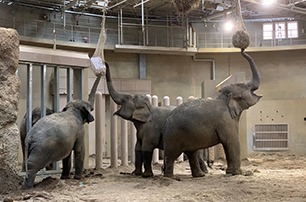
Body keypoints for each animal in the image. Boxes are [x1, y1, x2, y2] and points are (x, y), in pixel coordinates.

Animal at [163, 49, 260, 178]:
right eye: (246, 86)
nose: (242, 49)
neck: (224, 98)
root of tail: (167, 121)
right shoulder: (225, 120)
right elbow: (231, 141)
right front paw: (238, 173)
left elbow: (227, 143)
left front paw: (229, 172)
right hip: (174, 135)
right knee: (172, 155)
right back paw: (171, 177)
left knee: (192, 153)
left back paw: (199, 175)